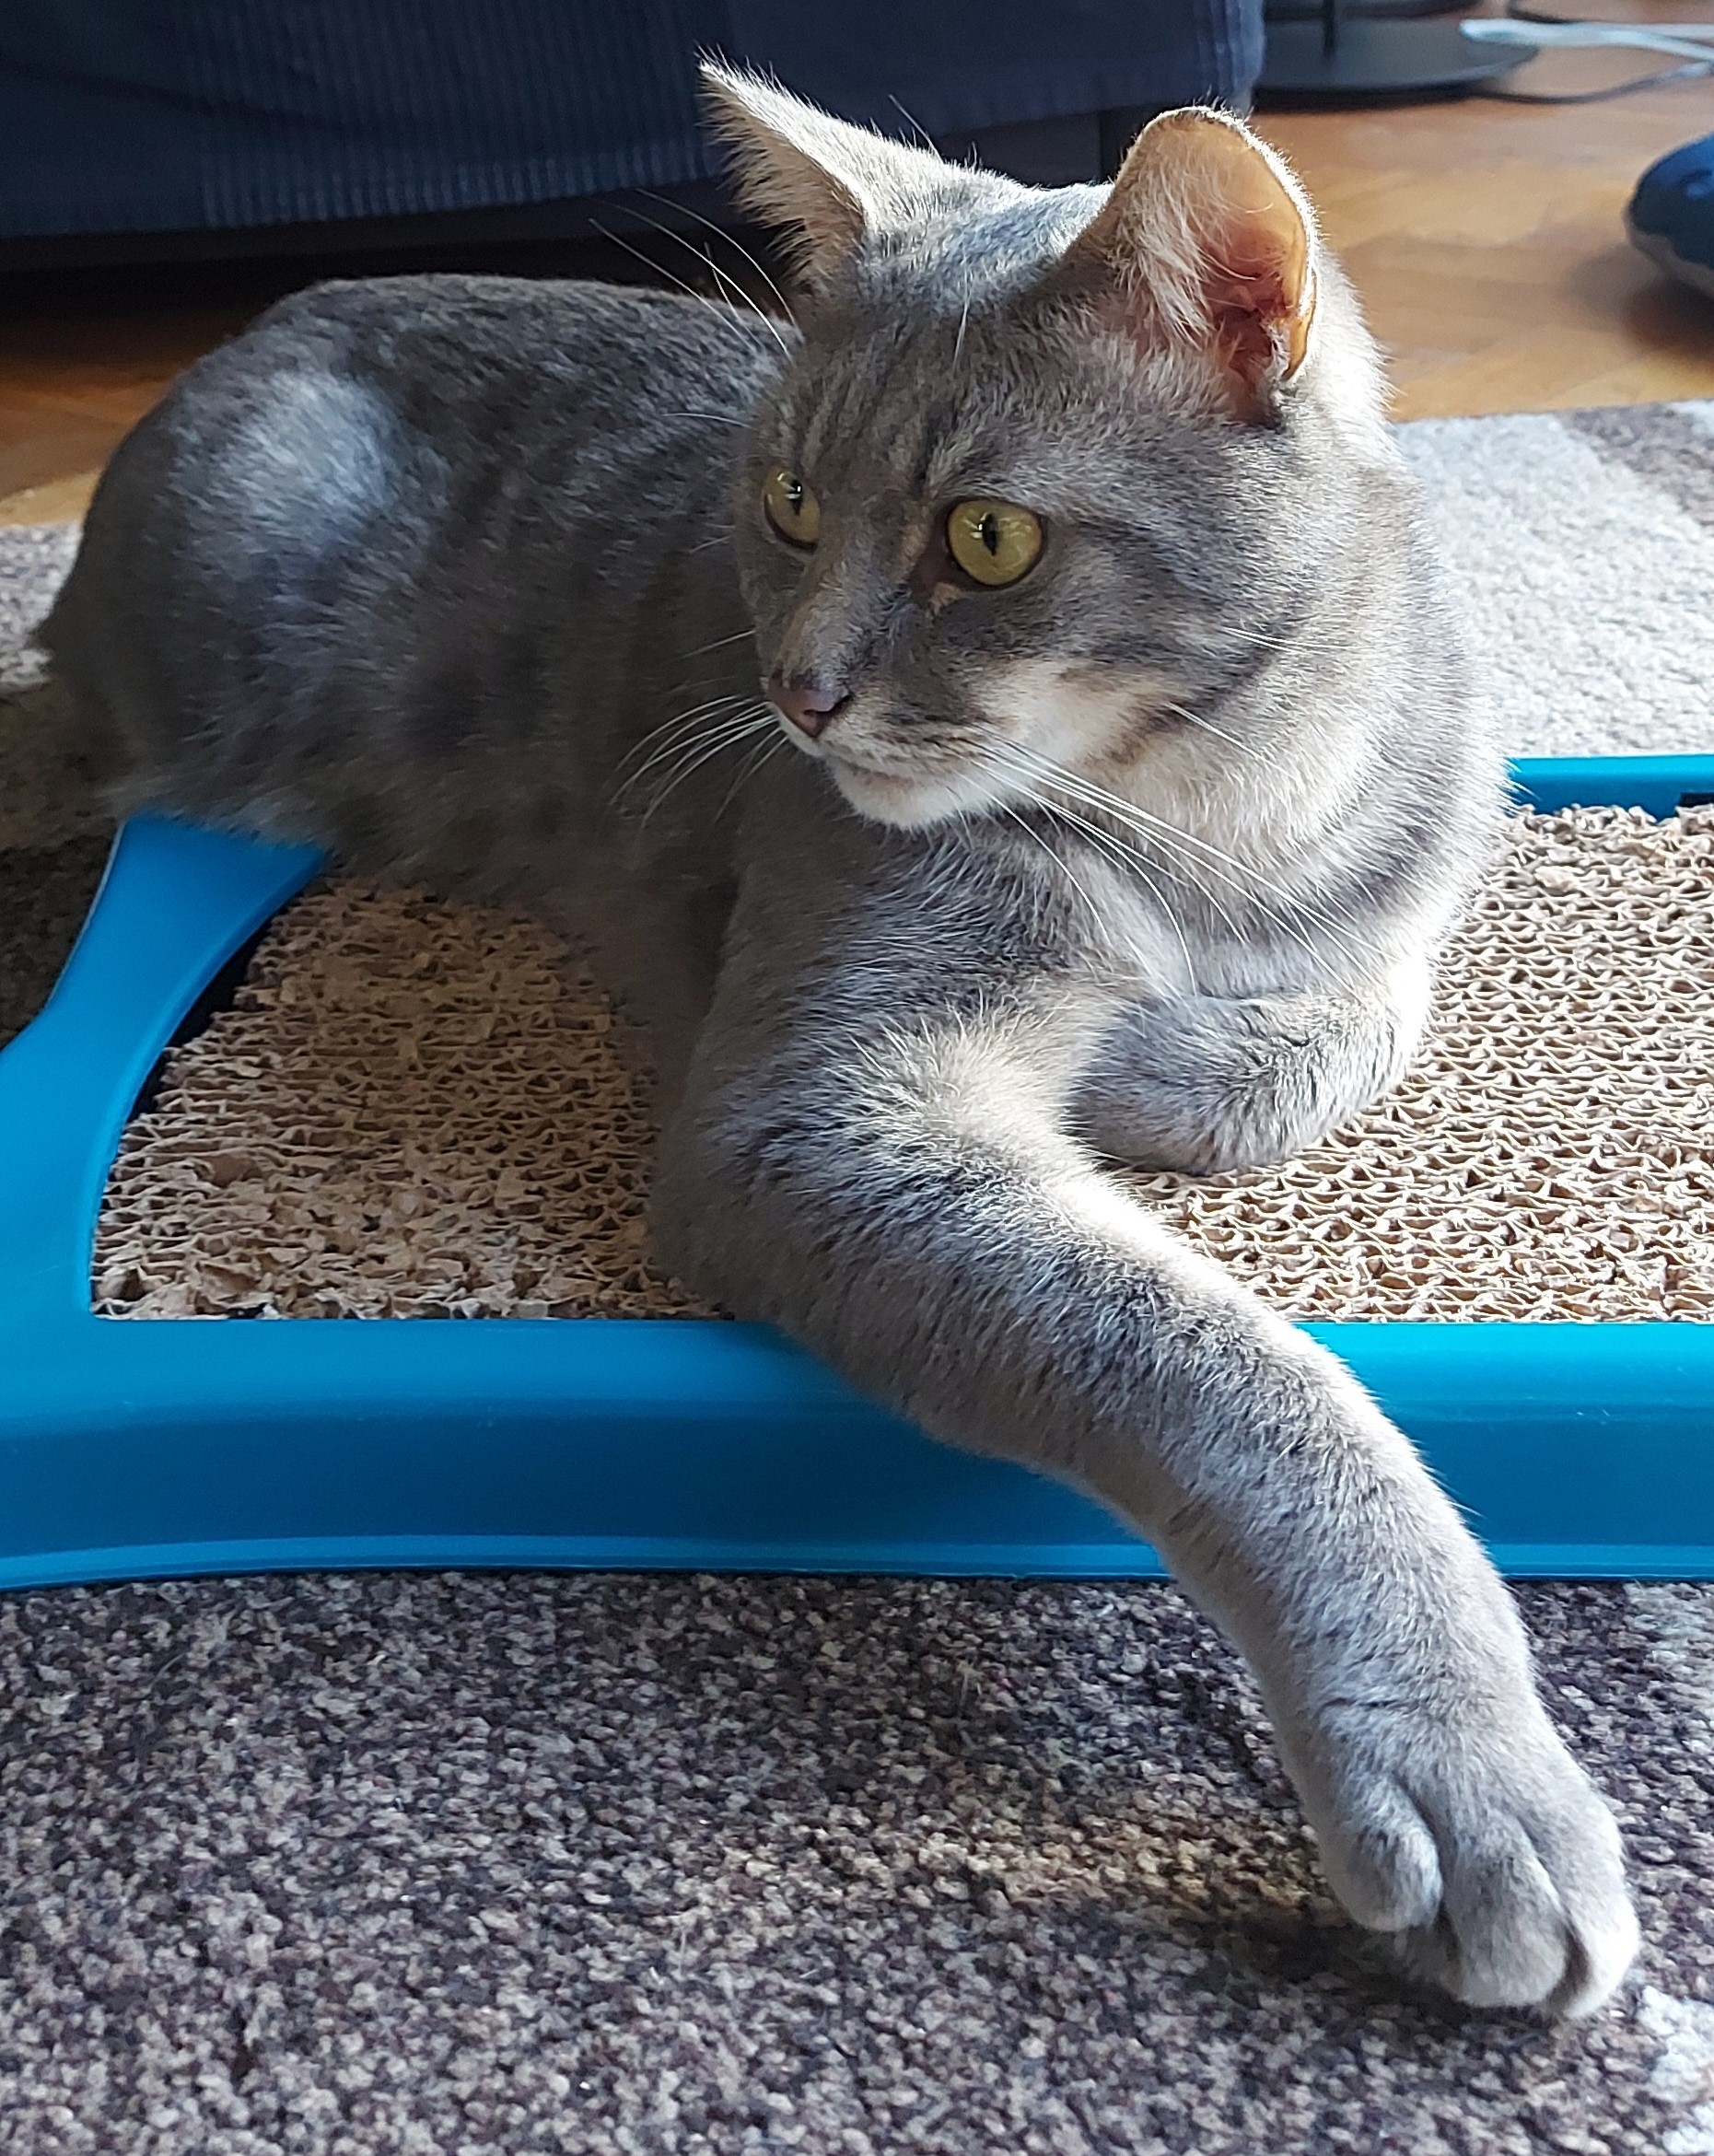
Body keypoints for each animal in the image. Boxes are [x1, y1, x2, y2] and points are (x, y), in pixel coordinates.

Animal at [42, 68, 1638, 2017]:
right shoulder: (815, 1110)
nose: (795, 694)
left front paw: (1158, 1056)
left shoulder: (1403, 907)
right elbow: (1239, 1373)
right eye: (790, 501)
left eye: (987, 538)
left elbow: (1326, 1038)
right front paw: (1470, 1771)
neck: (1220, 834)